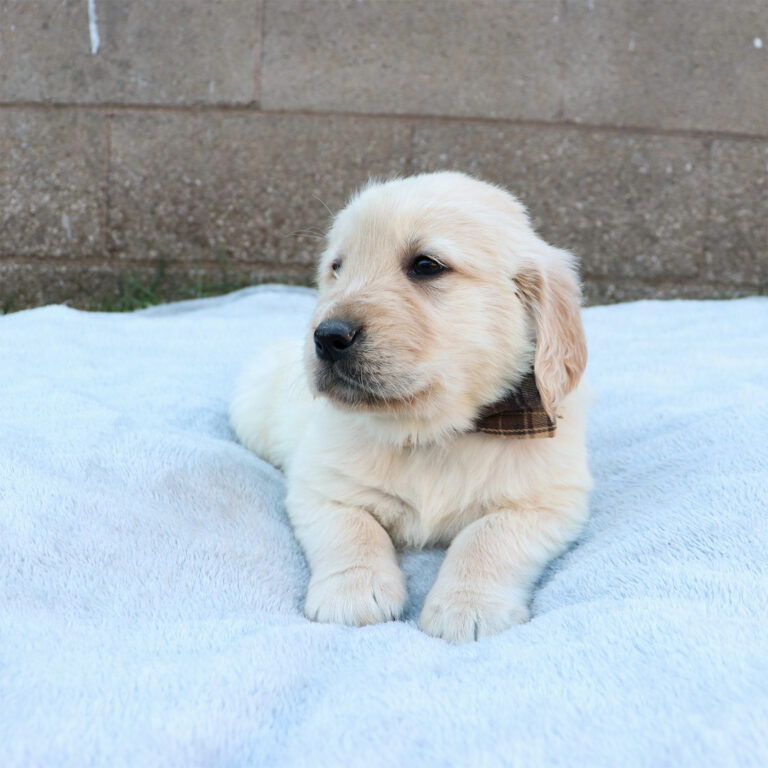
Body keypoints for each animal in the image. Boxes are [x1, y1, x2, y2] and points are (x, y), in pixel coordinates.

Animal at [231, 172, 592, 640]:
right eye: (336, 268)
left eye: (426, 265)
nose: (326, 336)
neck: (430, 432)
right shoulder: (320, 485)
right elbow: (352, 529)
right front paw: (353, 592)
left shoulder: (549, 502)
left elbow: (488, 538)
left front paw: (468, 606)